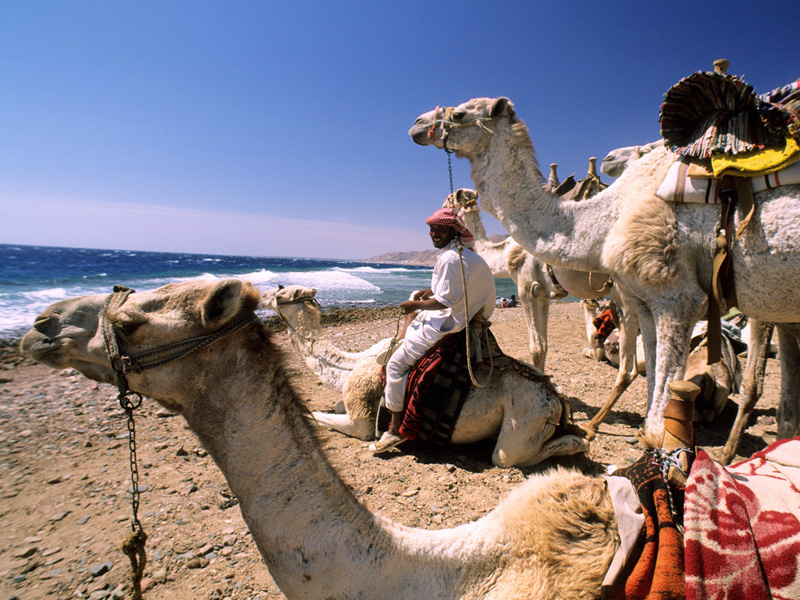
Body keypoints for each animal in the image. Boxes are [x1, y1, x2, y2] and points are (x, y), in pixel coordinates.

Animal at [262, 284, 588, 466]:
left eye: (279, 293)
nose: (259, 293)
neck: (349, 366)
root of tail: (554, 397)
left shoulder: (361, 420)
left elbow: (317, 415)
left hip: (524, 423)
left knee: (511, 456)